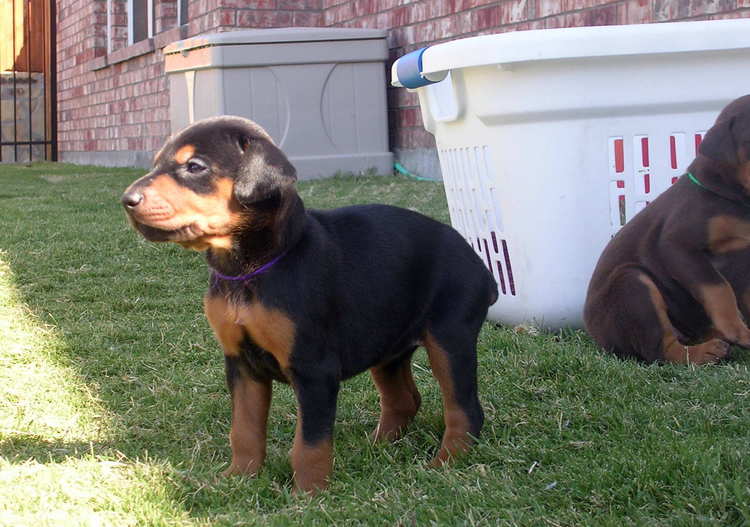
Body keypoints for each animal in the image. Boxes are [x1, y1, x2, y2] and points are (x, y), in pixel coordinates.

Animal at [122, 116, 500, 496]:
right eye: (155, 164)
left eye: (195, 167)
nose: (127, 200)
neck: (252, 268)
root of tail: (479, 264)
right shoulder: (240, 364)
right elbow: (244, 429)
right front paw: (238, 479)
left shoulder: (314, 369)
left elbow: (310, 442)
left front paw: (309, 493)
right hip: (386, 345)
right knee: (404, 400)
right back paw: (374, 449)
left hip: (449, 337)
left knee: (465, 408)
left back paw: (445, 462)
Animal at [588, 95, 750, 366]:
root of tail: (595, 334)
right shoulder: (678, 245)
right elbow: (718, 287)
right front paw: (737, 330)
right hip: (632, 283)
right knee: (659, 349)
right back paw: (705, 352)